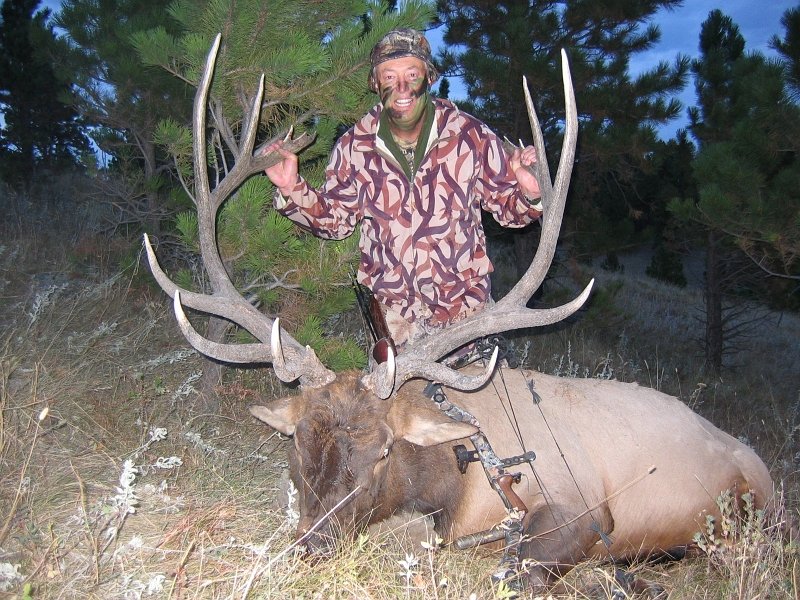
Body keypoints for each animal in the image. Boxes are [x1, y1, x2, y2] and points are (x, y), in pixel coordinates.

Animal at [143, 35, 773, 593]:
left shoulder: (585, 506)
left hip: (749, 508)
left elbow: (520, 571)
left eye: (384, 450)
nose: (313, 546)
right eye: (297, 443)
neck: (458, 477)